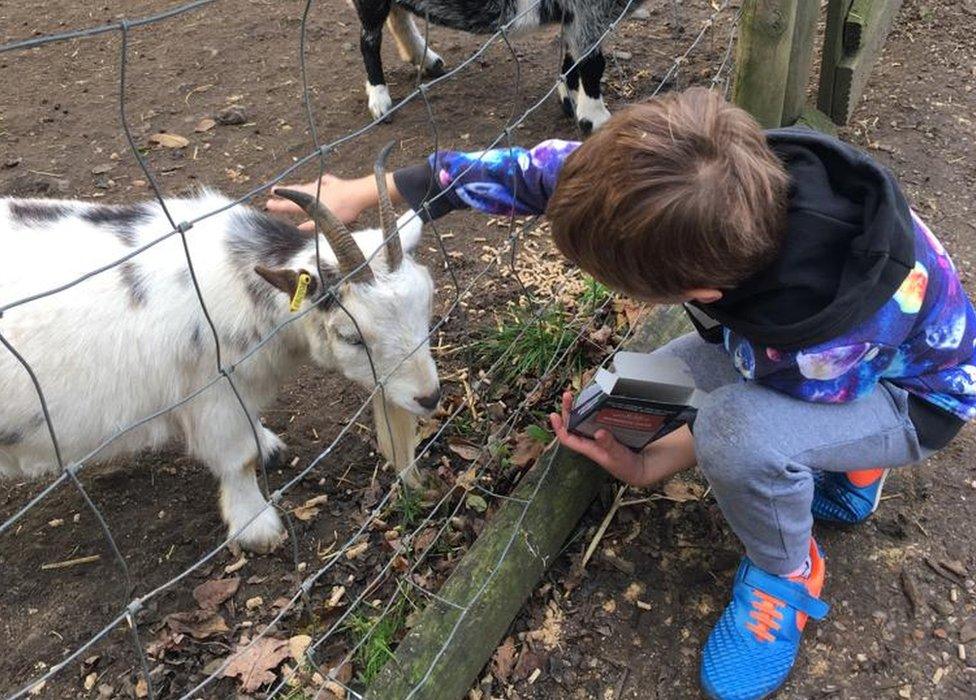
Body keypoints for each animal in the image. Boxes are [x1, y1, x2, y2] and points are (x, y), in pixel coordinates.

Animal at [0, 146, 438, 552]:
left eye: (426, 302)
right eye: (352, 336)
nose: (430, 397)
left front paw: (268, 445)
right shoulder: (213, 394)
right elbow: (238, 460)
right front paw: (258, 528)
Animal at [354, 0, 644, 133]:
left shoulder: (580, 16)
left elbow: (573, 56)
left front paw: (570, 100)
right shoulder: (589, 12)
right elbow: (592, 64)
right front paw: (597, 120)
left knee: (397, 14)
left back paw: (428, 60)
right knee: (369, 39)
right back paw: (381, 102)